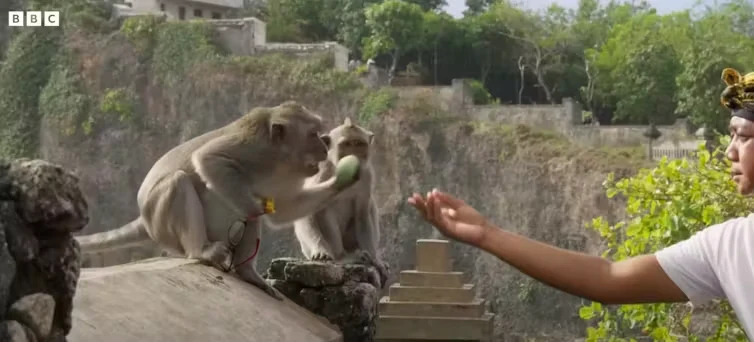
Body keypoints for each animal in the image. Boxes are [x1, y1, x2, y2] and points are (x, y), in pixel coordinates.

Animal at [74, 101, 362, 300]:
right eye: (313, 134)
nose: (324, 146)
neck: (280, 160)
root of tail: (145, 220)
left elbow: (284, 209)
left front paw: (343, 180)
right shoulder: (253, 147)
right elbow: (209, 159)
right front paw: (254, 209)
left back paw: (248, 274)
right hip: (162, 223)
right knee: (179, 182)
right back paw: (202, 251)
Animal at [292, 117, 390, 286]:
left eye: (358, 144)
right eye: (346, 144)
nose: (353, 155)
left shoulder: (367, 175)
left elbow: (362, 212)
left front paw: (375, 260)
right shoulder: (322, 172)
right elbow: (311, 210)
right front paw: (324, 252)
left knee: (370, 206)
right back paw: (341, 256)